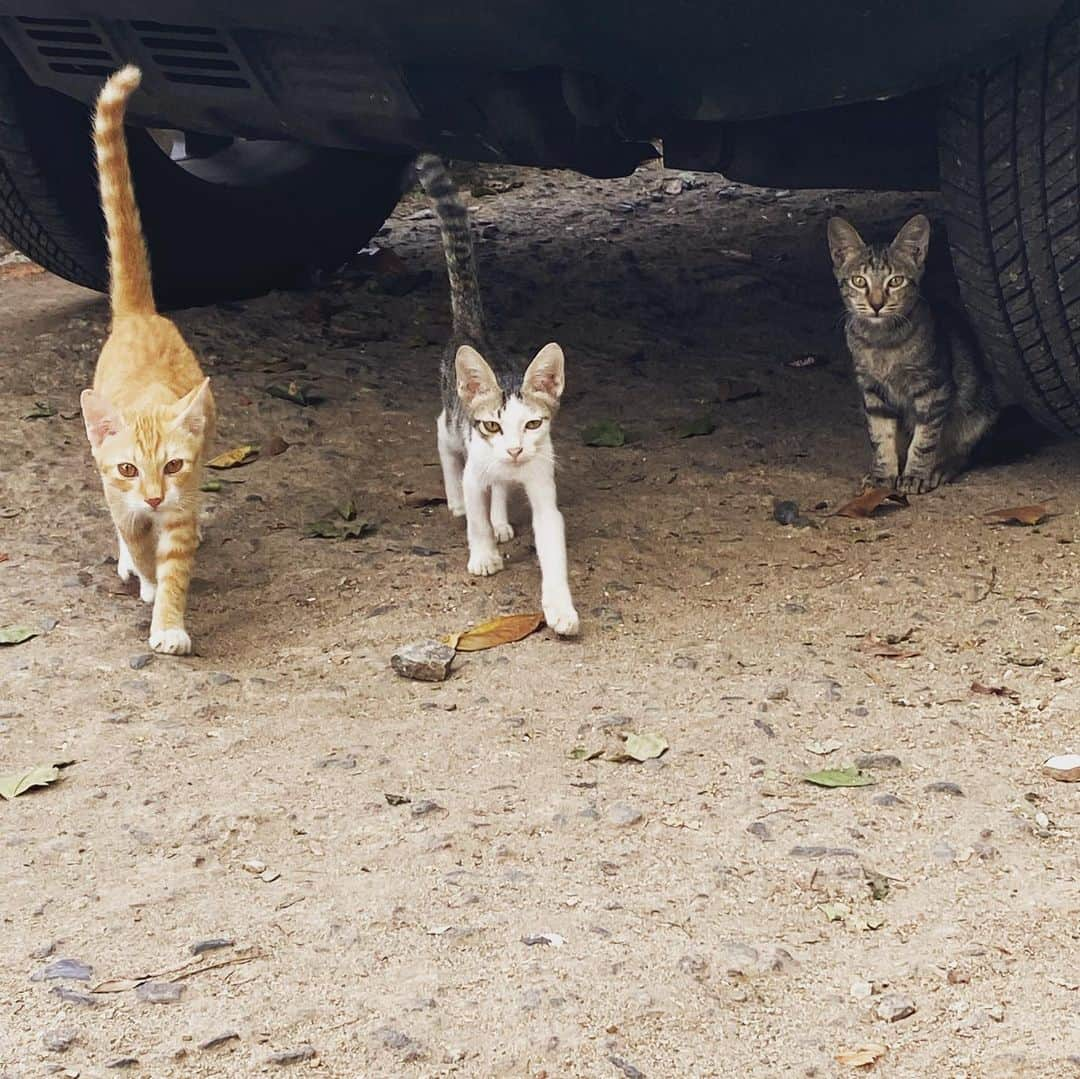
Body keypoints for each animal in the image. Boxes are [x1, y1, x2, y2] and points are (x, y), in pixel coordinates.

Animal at [414, 156, 583, 635]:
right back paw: (456, 501)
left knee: (500, 490)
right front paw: (484, 554)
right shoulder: (476, 462)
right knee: (442, 433)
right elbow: (475, 516)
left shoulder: (543, 486)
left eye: (533, 423)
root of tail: (473, 330)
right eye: (491, 424)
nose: (513, 449)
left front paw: (559, 607)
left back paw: (502, 518)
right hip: (453, 420)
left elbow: (551, 544)